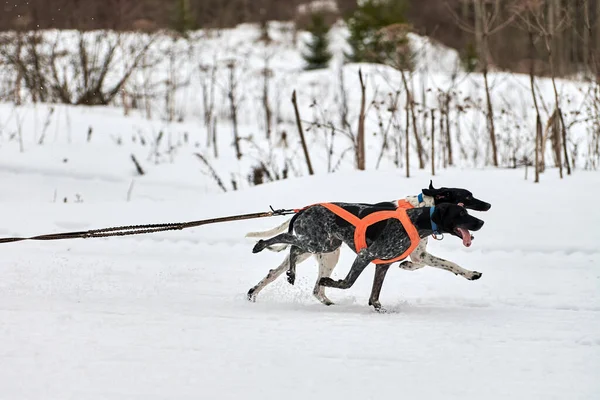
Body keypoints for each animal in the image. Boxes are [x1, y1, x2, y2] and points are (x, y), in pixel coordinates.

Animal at [246, 183, 490, 308]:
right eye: (467, 198)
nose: (487, 206)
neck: (418, 211)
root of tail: (304, 209)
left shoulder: (409, 255)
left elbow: (447, 264)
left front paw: (470, 273)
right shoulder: (369, 254)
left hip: (321, 247)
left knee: (284, 265)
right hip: (324, 248)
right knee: (291, 251)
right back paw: (261, 246)